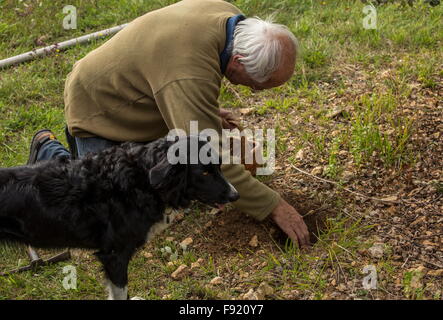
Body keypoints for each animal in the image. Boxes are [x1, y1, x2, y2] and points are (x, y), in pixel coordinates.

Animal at [0, 135, 239, 300]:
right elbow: (120, 292)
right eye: (204, 173)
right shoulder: (114, 255)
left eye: (219, 167)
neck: (142, 179)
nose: (235, 195)